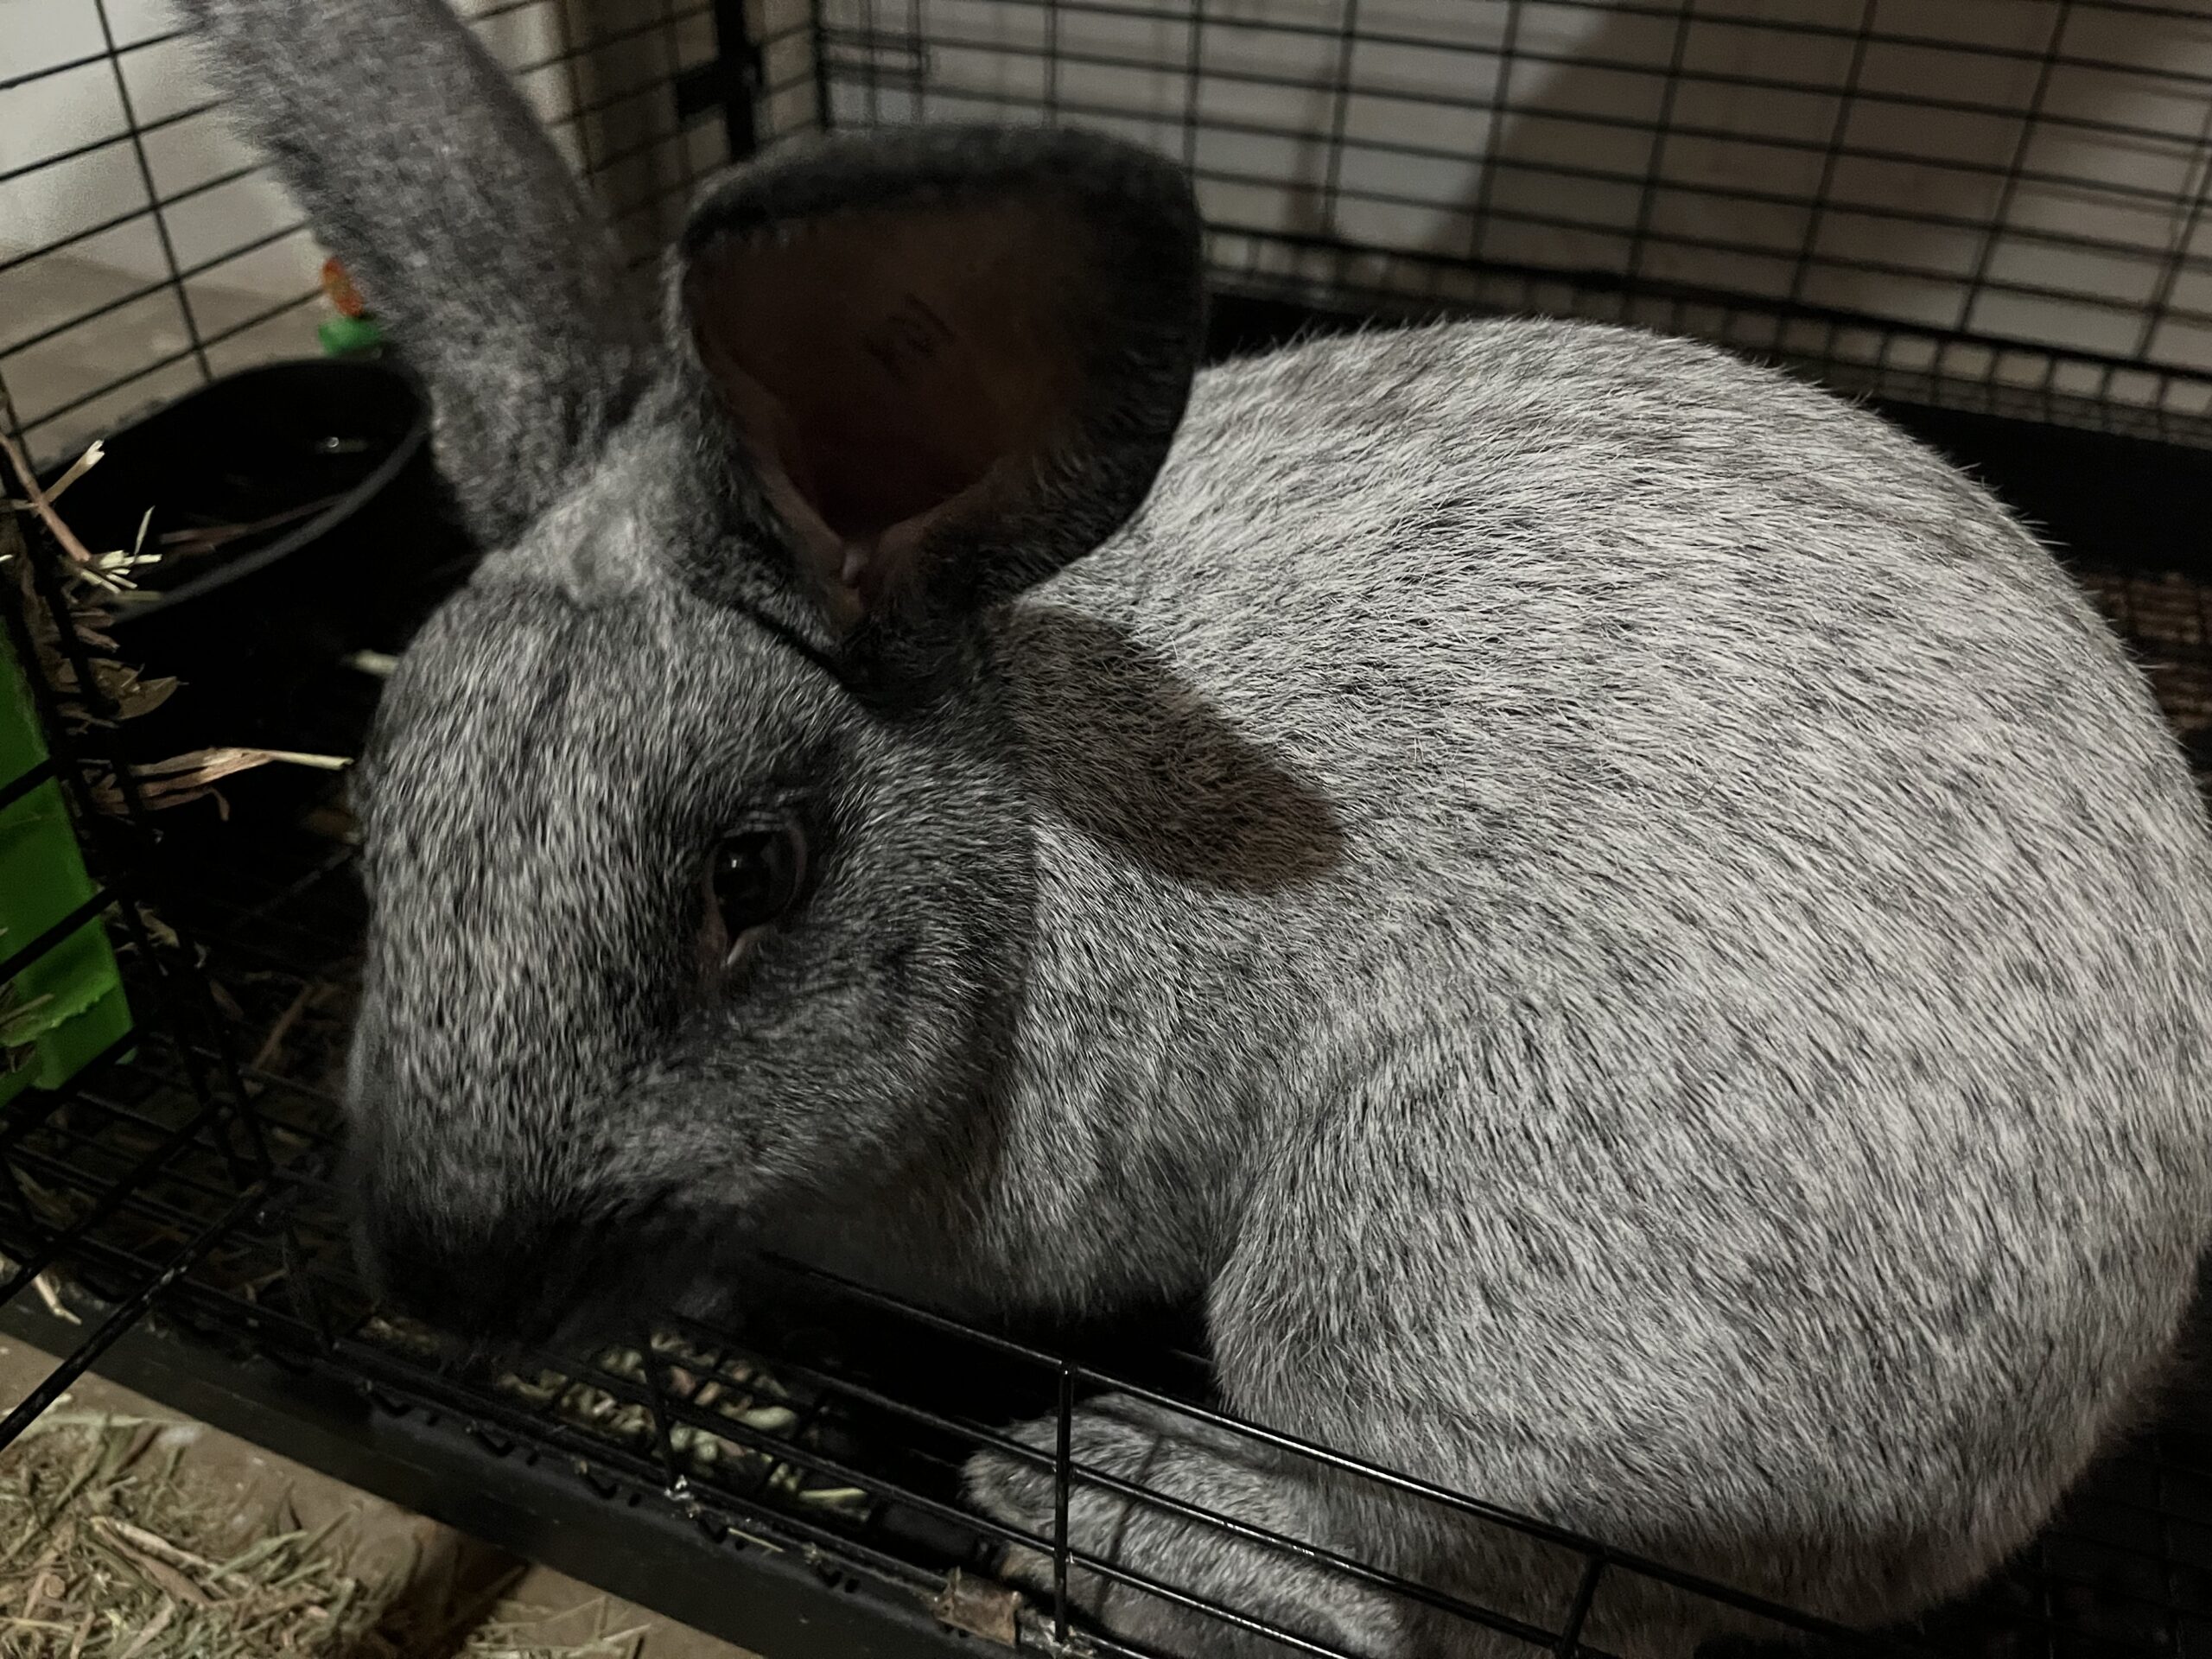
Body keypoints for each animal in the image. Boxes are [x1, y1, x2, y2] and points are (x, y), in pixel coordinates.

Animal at [179, 2, 2212, 1655]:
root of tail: (2094, 1383)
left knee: (1462, 1593)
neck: (1017, 832)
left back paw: (1075, 1483)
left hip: (1412, 1299)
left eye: (750, 875)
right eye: (372, 815)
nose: (446, 1273)